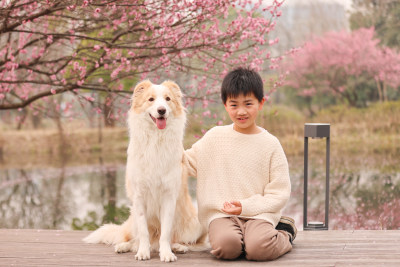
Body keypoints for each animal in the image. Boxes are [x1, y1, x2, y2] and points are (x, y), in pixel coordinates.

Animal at [83, 80, 203, 262]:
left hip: (194, 223)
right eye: (151, 99)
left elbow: (166, 232)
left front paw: (166, 253)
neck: (156, 140)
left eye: (168, 99)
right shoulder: (139, 197)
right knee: (134, 239)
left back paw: (177, 247)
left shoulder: (168, 197)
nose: (162, 110)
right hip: (132, 218)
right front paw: (143, 252)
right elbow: (143, 232)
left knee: (176, 238)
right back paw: (125, 246)